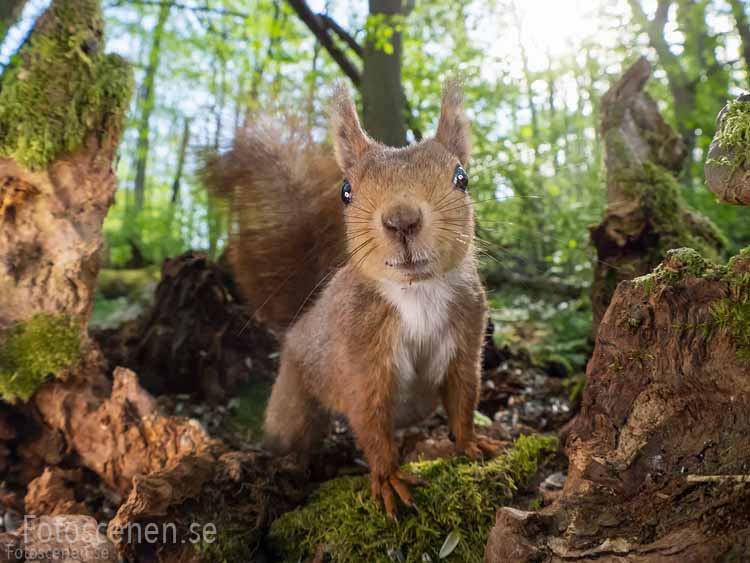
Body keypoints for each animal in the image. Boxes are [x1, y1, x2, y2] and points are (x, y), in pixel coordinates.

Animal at [204, 82, 499, 518]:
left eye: (461, 178)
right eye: (346, 192)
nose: (402, 220)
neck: (417, 291)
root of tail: (300, 323)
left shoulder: (467, 334)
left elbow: (464, 397)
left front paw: (471, 443)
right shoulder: (360, 355)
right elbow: (370, 420)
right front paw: (388, 477)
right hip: (294, 394)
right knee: (291, 431)